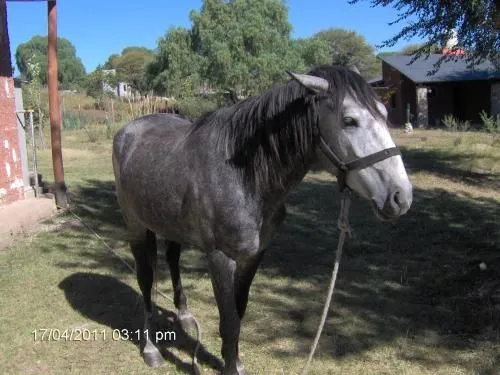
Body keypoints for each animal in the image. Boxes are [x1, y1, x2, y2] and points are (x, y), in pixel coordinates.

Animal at [113, 65, 414, 375]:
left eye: (385, 113)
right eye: (349, 120)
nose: (400, 196)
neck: (244, 177)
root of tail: (128, 130)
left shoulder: (254, 256)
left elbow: (239, 311)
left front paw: (233, 360)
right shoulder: (220, 258)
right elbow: (229, 321)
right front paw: (230, 366)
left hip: (169, 224)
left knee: (172, 259)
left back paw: (184, 316)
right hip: (136, 226)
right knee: (145, 279)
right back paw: (150, 347)